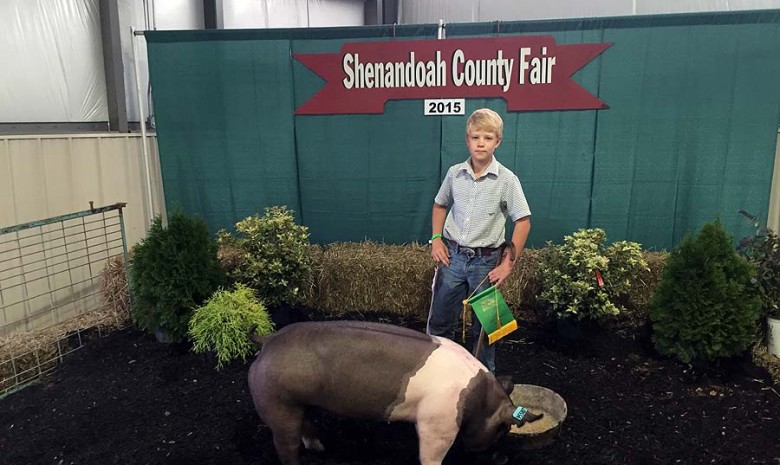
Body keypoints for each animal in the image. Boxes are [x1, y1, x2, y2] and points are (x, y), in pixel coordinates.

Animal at [247, 320, 540, 464]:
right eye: (503, 429)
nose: (503, 459)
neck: (479, 402)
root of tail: (268, 340)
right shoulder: (438, 424)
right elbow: (431, 455)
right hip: (277, 403)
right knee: (286, 445)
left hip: (298, 402)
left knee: (306, 422)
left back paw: (320, 448)